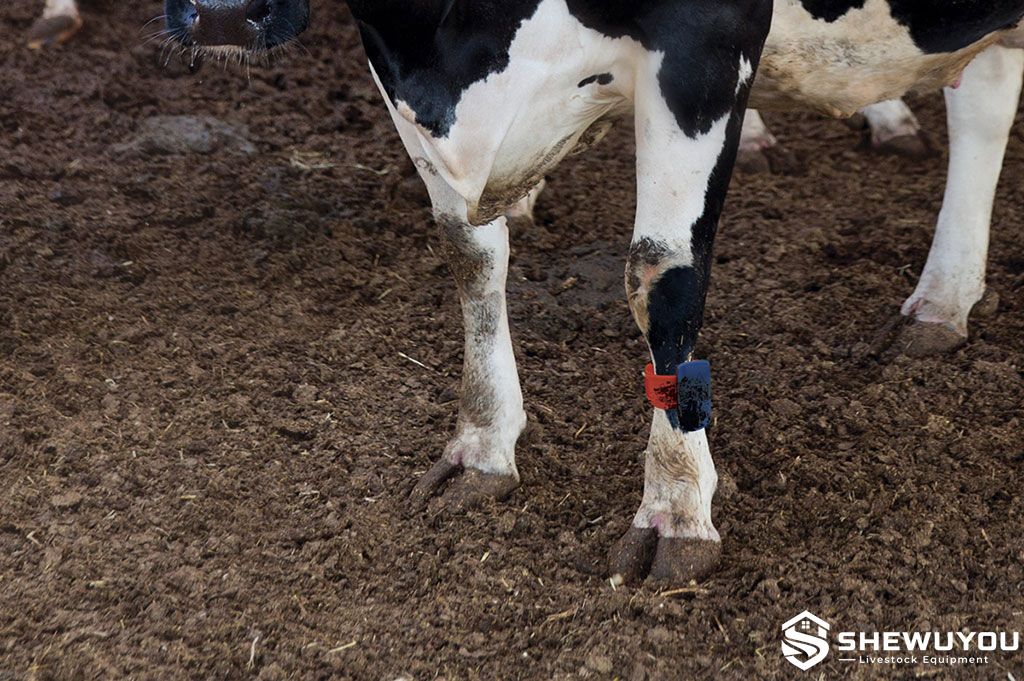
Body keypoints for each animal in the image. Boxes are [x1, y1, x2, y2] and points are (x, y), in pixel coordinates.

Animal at [162, 0, 1024, 583]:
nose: (222, 15)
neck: (451, 49)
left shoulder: (705, 41)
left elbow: (660, 276)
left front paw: (676, 506)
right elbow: (469, 254)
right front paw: (483, 443)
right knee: (984, 103)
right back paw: (943, 300)